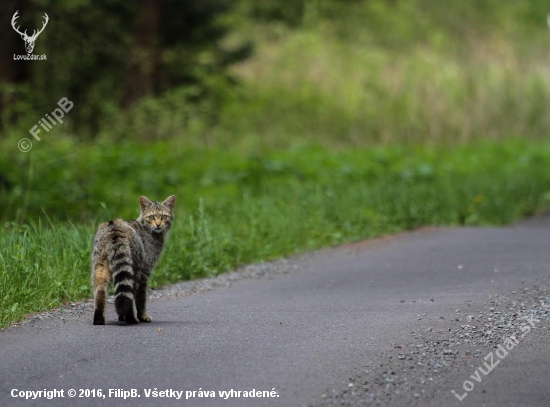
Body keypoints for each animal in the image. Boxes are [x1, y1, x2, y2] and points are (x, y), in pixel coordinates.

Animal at [91, 196, 176, 326]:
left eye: (163, 217)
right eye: (151, 217)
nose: (158, 224)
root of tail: (114, 224)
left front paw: (121, 317)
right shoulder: (145, 272)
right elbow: (141, 299)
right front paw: (142, 316)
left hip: (100, 267)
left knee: (100, 291)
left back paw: (99, 318)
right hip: (134, 269)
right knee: (130, 295)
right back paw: (131, 318)